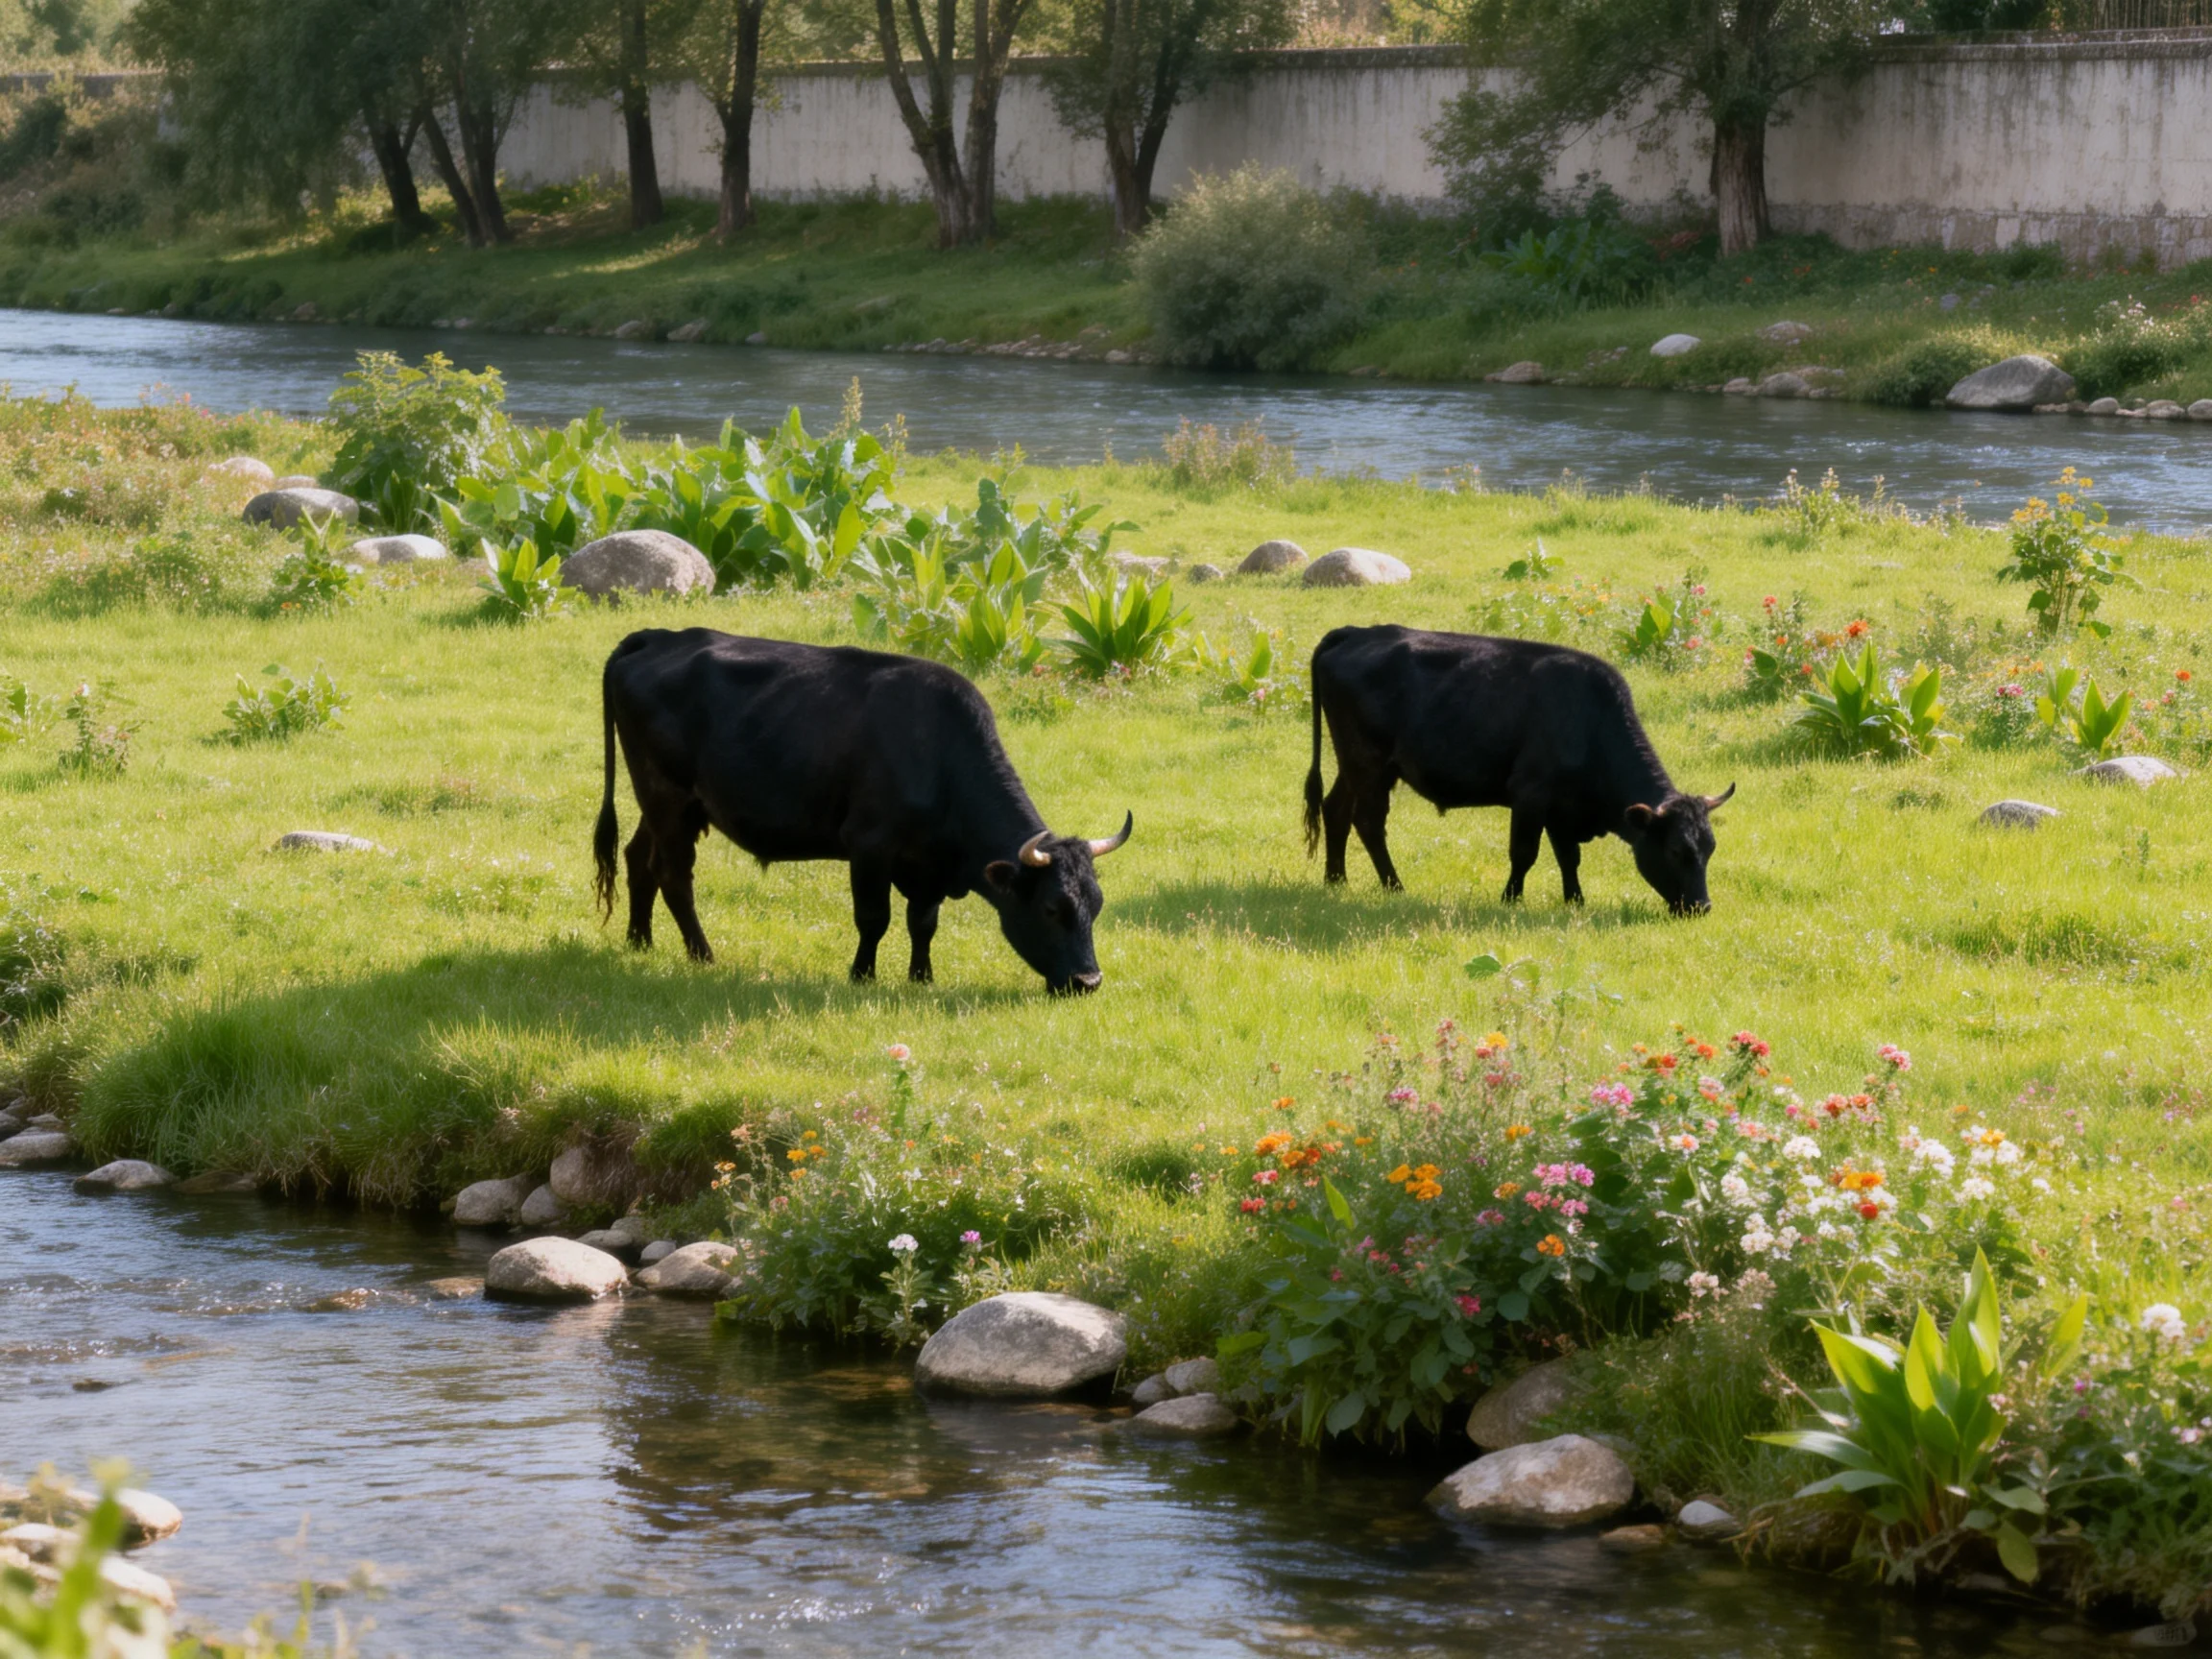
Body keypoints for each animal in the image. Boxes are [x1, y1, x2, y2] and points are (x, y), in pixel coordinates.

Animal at [594, 629, 1131, 994]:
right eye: (1052, 908)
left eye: (1097, 905)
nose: (1088, 981)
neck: (938, 753)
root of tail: (659, 636)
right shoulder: (870, 845)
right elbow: (875, 917)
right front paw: (862, 975)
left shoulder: (927, 867)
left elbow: (922, 922)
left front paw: (921, 977)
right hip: (666, 796)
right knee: (673, 876)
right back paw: (703, 956)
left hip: (665, 804)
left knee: (638, 858)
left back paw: (640, 941)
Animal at [1303, 626, 1733, 914]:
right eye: (1677, 850)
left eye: (1710, 848)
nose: (1702, 906)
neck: (1589, 718)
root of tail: (1357, 632)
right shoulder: (1531, 794)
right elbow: (1524, 852)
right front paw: (1510, 899)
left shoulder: (1562, 808)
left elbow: (1568, 857)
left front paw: (1575, 901)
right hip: (1368, 764)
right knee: (1368, 822)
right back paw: (1394, 887)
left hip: (1354, 765)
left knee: (1335, 810)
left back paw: (1335, 880)